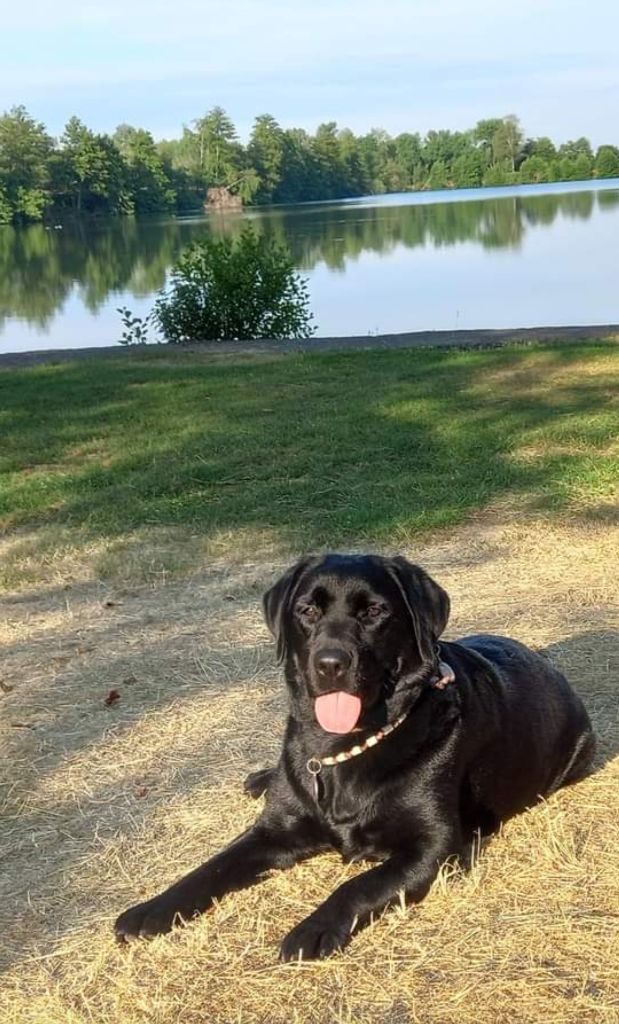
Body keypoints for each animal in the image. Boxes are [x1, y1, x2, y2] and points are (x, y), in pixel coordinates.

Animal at [115, 553, 595, 959]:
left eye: (374, 612)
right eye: (307, 611)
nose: (331, 663)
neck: (343, 748)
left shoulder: (434, 847)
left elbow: (359, 885)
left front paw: (311, 929)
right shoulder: (271, 832)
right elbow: (210, 868)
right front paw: (151, 909)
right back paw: (261, 778)